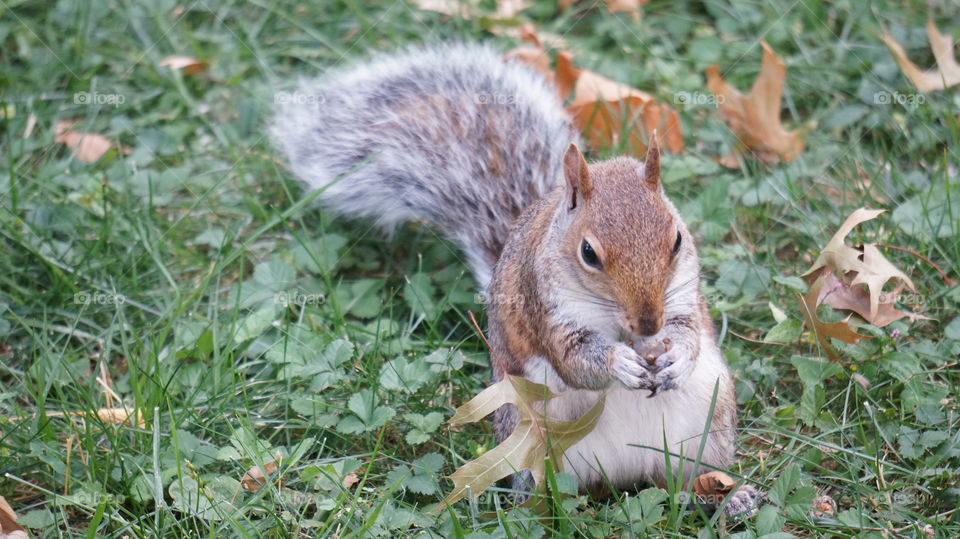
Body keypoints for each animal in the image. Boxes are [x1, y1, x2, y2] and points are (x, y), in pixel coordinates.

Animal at [271, 43, 759, 516]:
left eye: (677, 239)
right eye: (588, 253)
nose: (648, 325)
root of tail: (624, 475)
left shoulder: (682, 298)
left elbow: (689, 332)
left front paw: (675, 356)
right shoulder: (542, 306)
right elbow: (575, 360)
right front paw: (617, 363)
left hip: (707, 425)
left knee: (683, 480)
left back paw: (725, 497)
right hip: (530, 439)